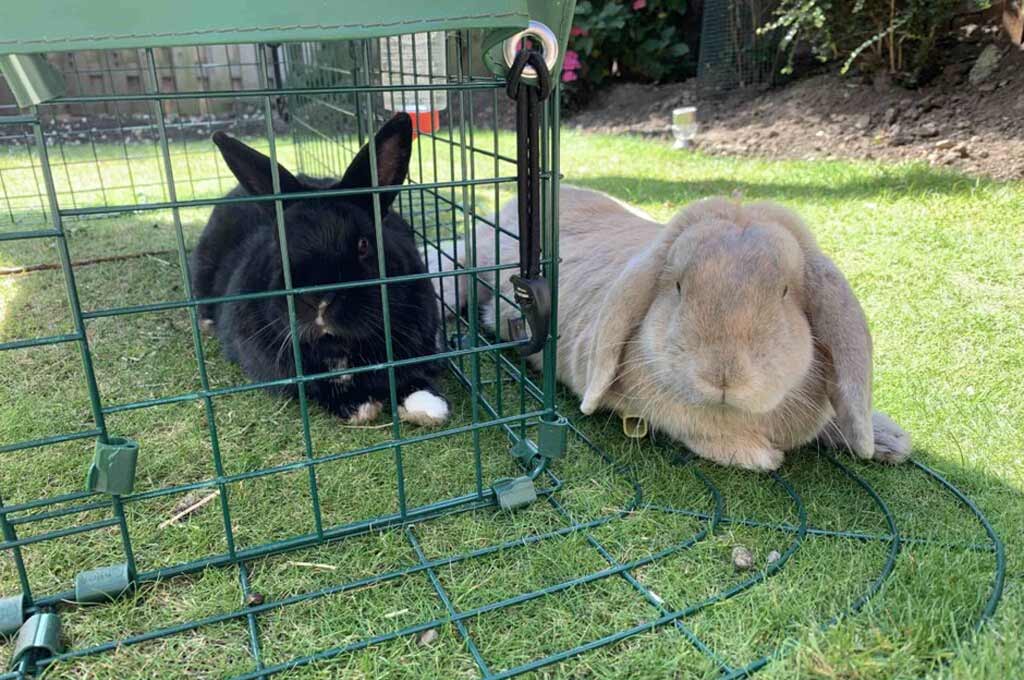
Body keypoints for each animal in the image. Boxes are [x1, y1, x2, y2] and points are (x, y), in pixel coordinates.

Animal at [192, 114, 448, 428]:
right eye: (278, 245)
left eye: (364, 244)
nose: (319, 300)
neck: (338, 344)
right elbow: (317, 386)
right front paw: (359, 406)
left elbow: (410, 376)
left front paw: (428, 407)